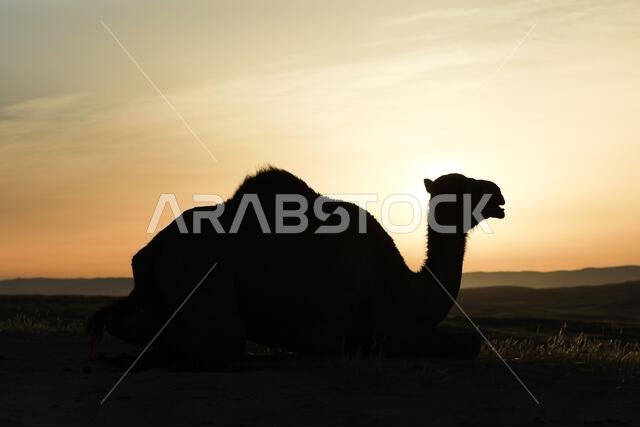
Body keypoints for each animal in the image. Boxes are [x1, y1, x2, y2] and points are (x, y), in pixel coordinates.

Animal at [88, 167, 506, 362]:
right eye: (463, 186)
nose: (498, 193)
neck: (402, 285)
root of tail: (153, 247)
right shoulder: (371, 334)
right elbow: (468, 343)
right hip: (200, 268)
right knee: (224, 339)